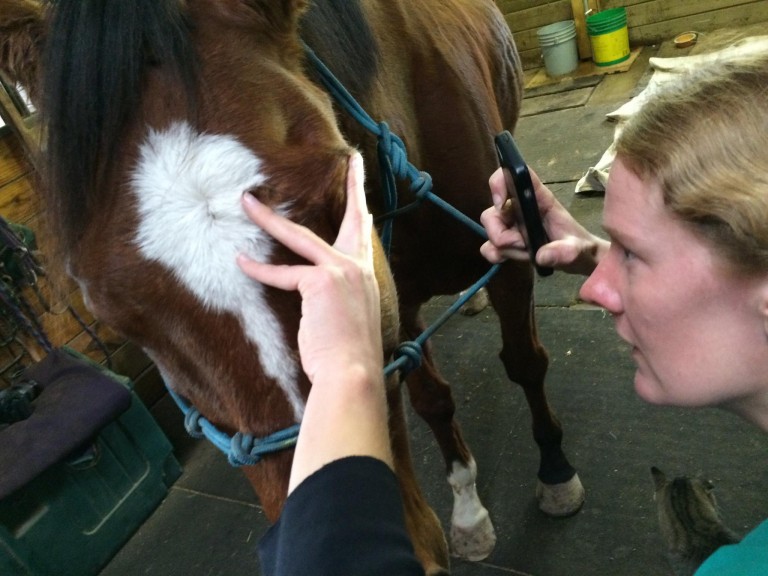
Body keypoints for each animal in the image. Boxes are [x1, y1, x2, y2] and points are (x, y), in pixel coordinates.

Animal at [0, 1, 585, 573]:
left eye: (340, 199)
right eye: (114, 313)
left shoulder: (509, 264)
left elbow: (525, 363)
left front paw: (556, 472)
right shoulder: (400, 301)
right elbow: (432, 400)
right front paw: (468, 513)